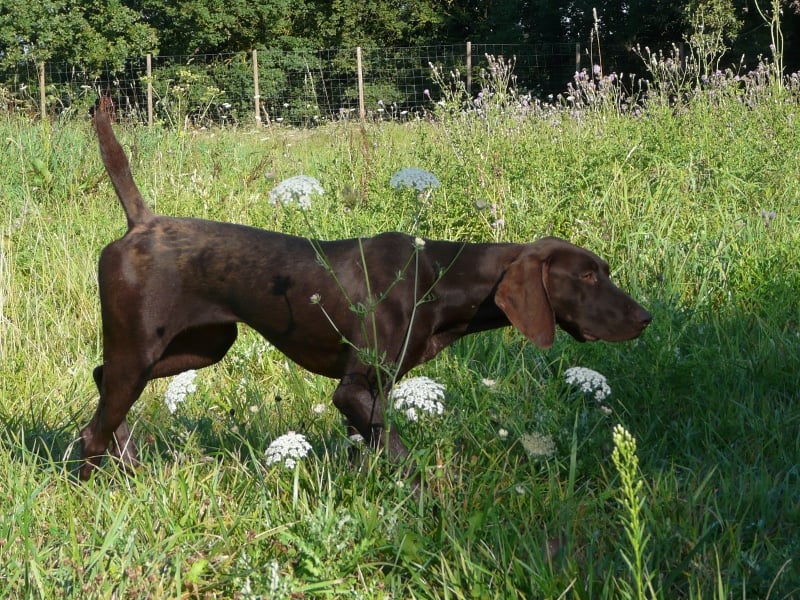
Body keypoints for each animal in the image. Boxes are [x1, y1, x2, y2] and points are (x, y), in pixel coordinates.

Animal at [78, 101, 648, 480]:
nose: (645, 317)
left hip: (202, 345)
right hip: (145, 350)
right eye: (587, 276)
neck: (436, 277)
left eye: (604, 270)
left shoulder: (378, 390)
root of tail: (141, 223)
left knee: (102, 380)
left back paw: (126, 461)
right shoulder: (353, 390)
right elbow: (398, 452)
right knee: (94, 426)